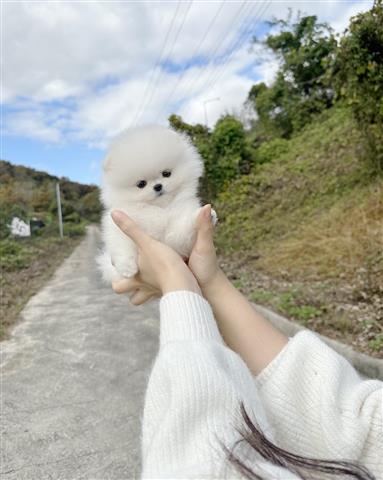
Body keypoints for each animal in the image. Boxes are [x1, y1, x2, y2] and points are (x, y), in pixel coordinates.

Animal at [97, 124, 216, 284]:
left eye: (166, 173)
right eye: (141, 184)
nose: (158, 186)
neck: (159, 208)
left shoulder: (174, 238)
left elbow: (183, 229)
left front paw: (205, 215)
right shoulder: (116, 225)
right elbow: (121, 244)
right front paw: (127, 268)